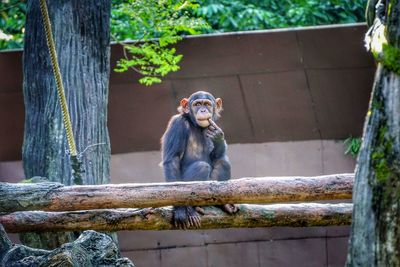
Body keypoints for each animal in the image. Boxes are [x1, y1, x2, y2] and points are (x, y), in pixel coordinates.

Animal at [161, 91, 239, 229]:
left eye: (207, 104)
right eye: (197, 104)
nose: (203, 110)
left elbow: (217, 156)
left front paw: (218, 136)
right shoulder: (177, 123)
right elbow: (172, 160)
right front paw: (179, 210)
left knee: (223, 162)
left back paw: (224, 204)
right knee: (202, 166)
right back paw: (191, 210)